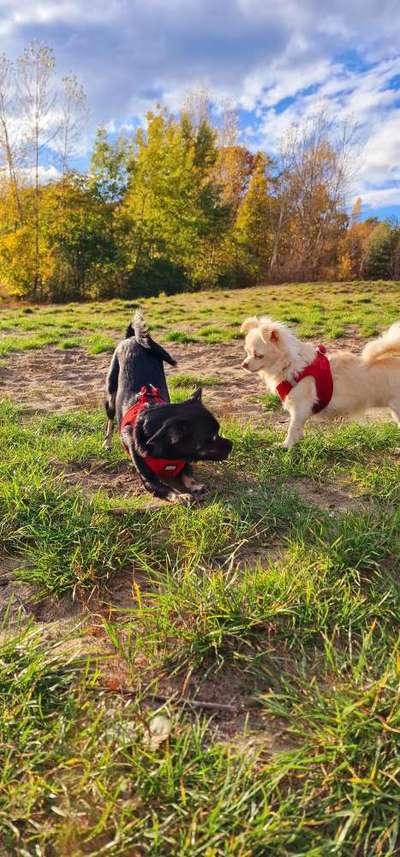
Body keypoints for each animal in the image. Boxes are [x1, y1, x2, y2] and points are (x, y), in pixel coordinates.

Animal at [104, 312, 233, 502]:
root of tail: (131, 338)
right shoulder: (149, 481)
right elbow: (166, 488)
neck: (169, 456)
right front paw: (181, 496)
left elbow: (187, 475)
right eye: (211, 438)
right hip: (110, 396)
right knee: (110, 420)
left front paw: (195, 486)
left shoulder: (185, 465)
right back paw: (107, 443)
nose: (231, 444)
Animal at [241, 314, 400, 448]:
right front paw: (295, 443)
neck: (291, 364)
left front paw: (286, 446)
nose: (243, 364)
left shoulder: (300, 408)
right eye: (247, 352)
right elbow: (297, 429)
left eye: (258, 355)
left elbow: (292, 428)